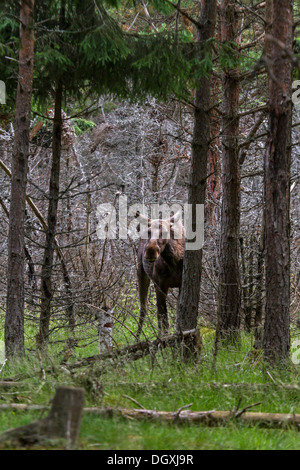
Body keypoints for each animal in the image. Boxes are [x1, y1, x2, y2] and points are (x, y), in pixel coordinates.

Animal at [136, 210, 185, 338]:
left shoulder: (181, 284)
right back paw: (138, 338)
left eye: (166, 232)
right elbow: (164, 319)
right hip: (141, 272)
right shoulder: (160, 284)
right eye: (148, 231)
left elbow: (177, 317)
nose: (151, 251)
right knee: (144, 307)